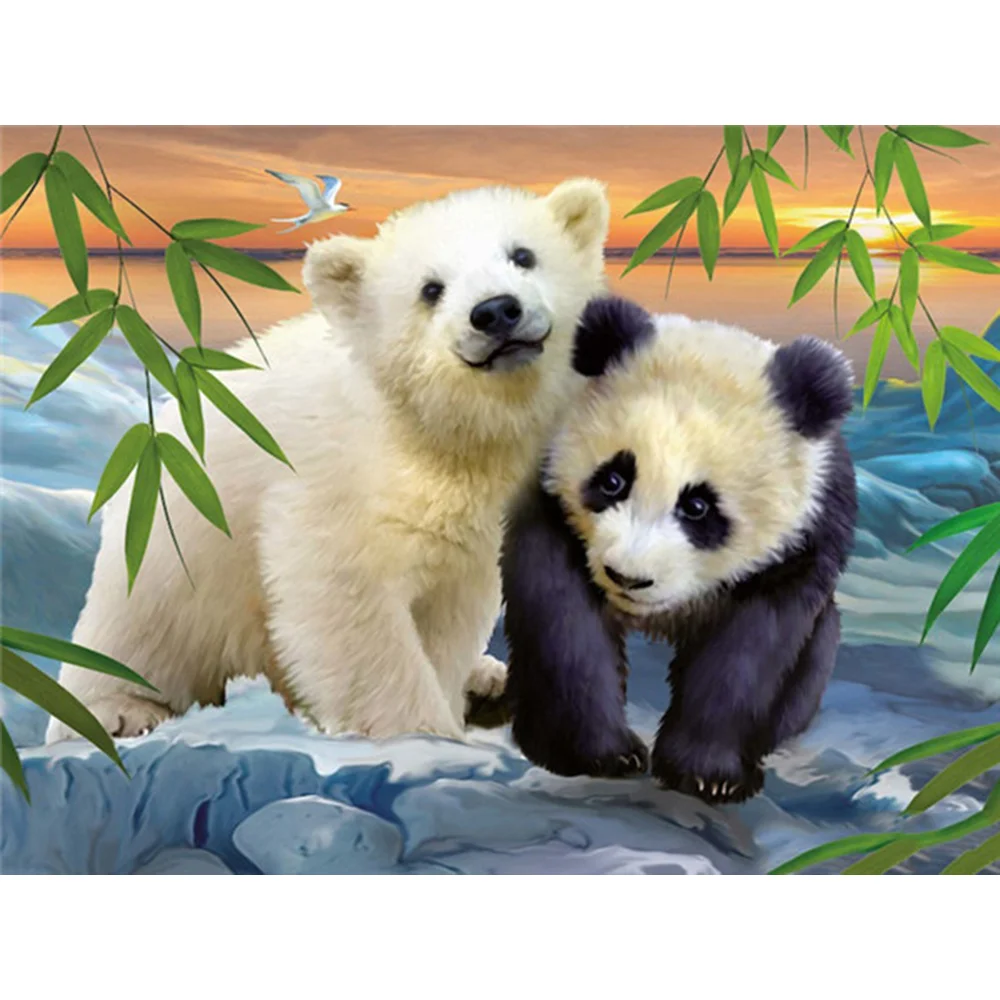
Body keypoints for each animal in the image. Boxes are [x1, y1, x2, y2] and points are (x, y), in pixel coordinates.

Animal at [46, 178, 610, 744]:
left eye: (523, 255)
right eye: (430, 289)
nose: (495, 311)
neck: (433, 433)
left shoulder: (479, 520)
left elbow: (448, 612)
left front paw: (452, 697)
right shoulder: (334, 480)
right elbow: (346, 606)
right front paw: (421, 730)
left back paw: (488, 679)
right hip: (173, 541)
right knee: (139, 625)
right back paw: (117, 710)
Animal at [500, 296, 858, 805]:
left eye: (698, 506)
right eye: (613, 480)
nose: (628, 578)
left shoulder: (803, 541)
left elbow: (751, 652)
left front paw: (708, 775)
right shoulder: (550, 503)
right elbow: (562, 620)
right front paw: (594, 753)